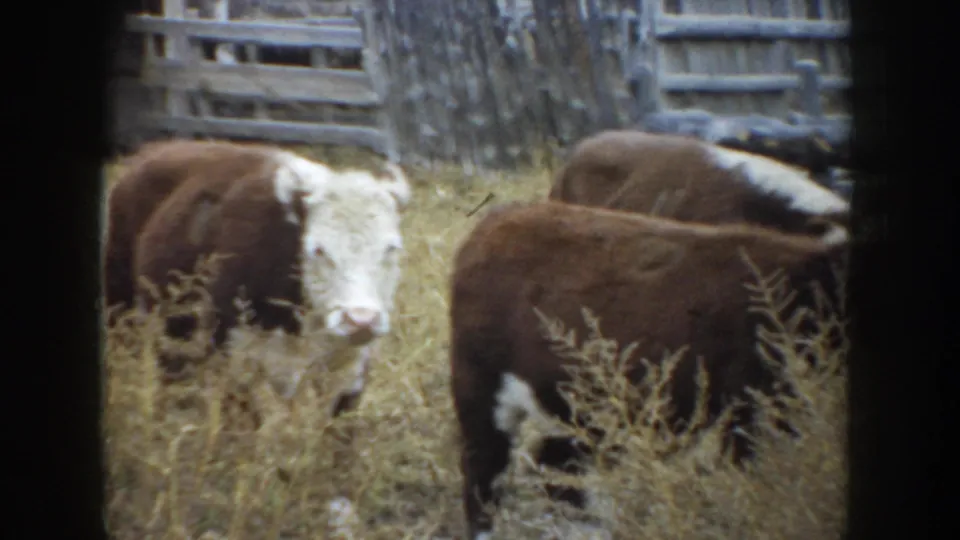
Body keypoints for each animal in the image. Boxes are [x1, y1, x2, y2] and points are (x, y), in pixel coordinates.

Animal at [450, 201, 848, 539]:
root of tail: (500, 218)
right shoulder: (755, 410)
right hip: (480, 391)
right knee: (484, 474)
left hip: (578, 410)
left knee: (557, 469)